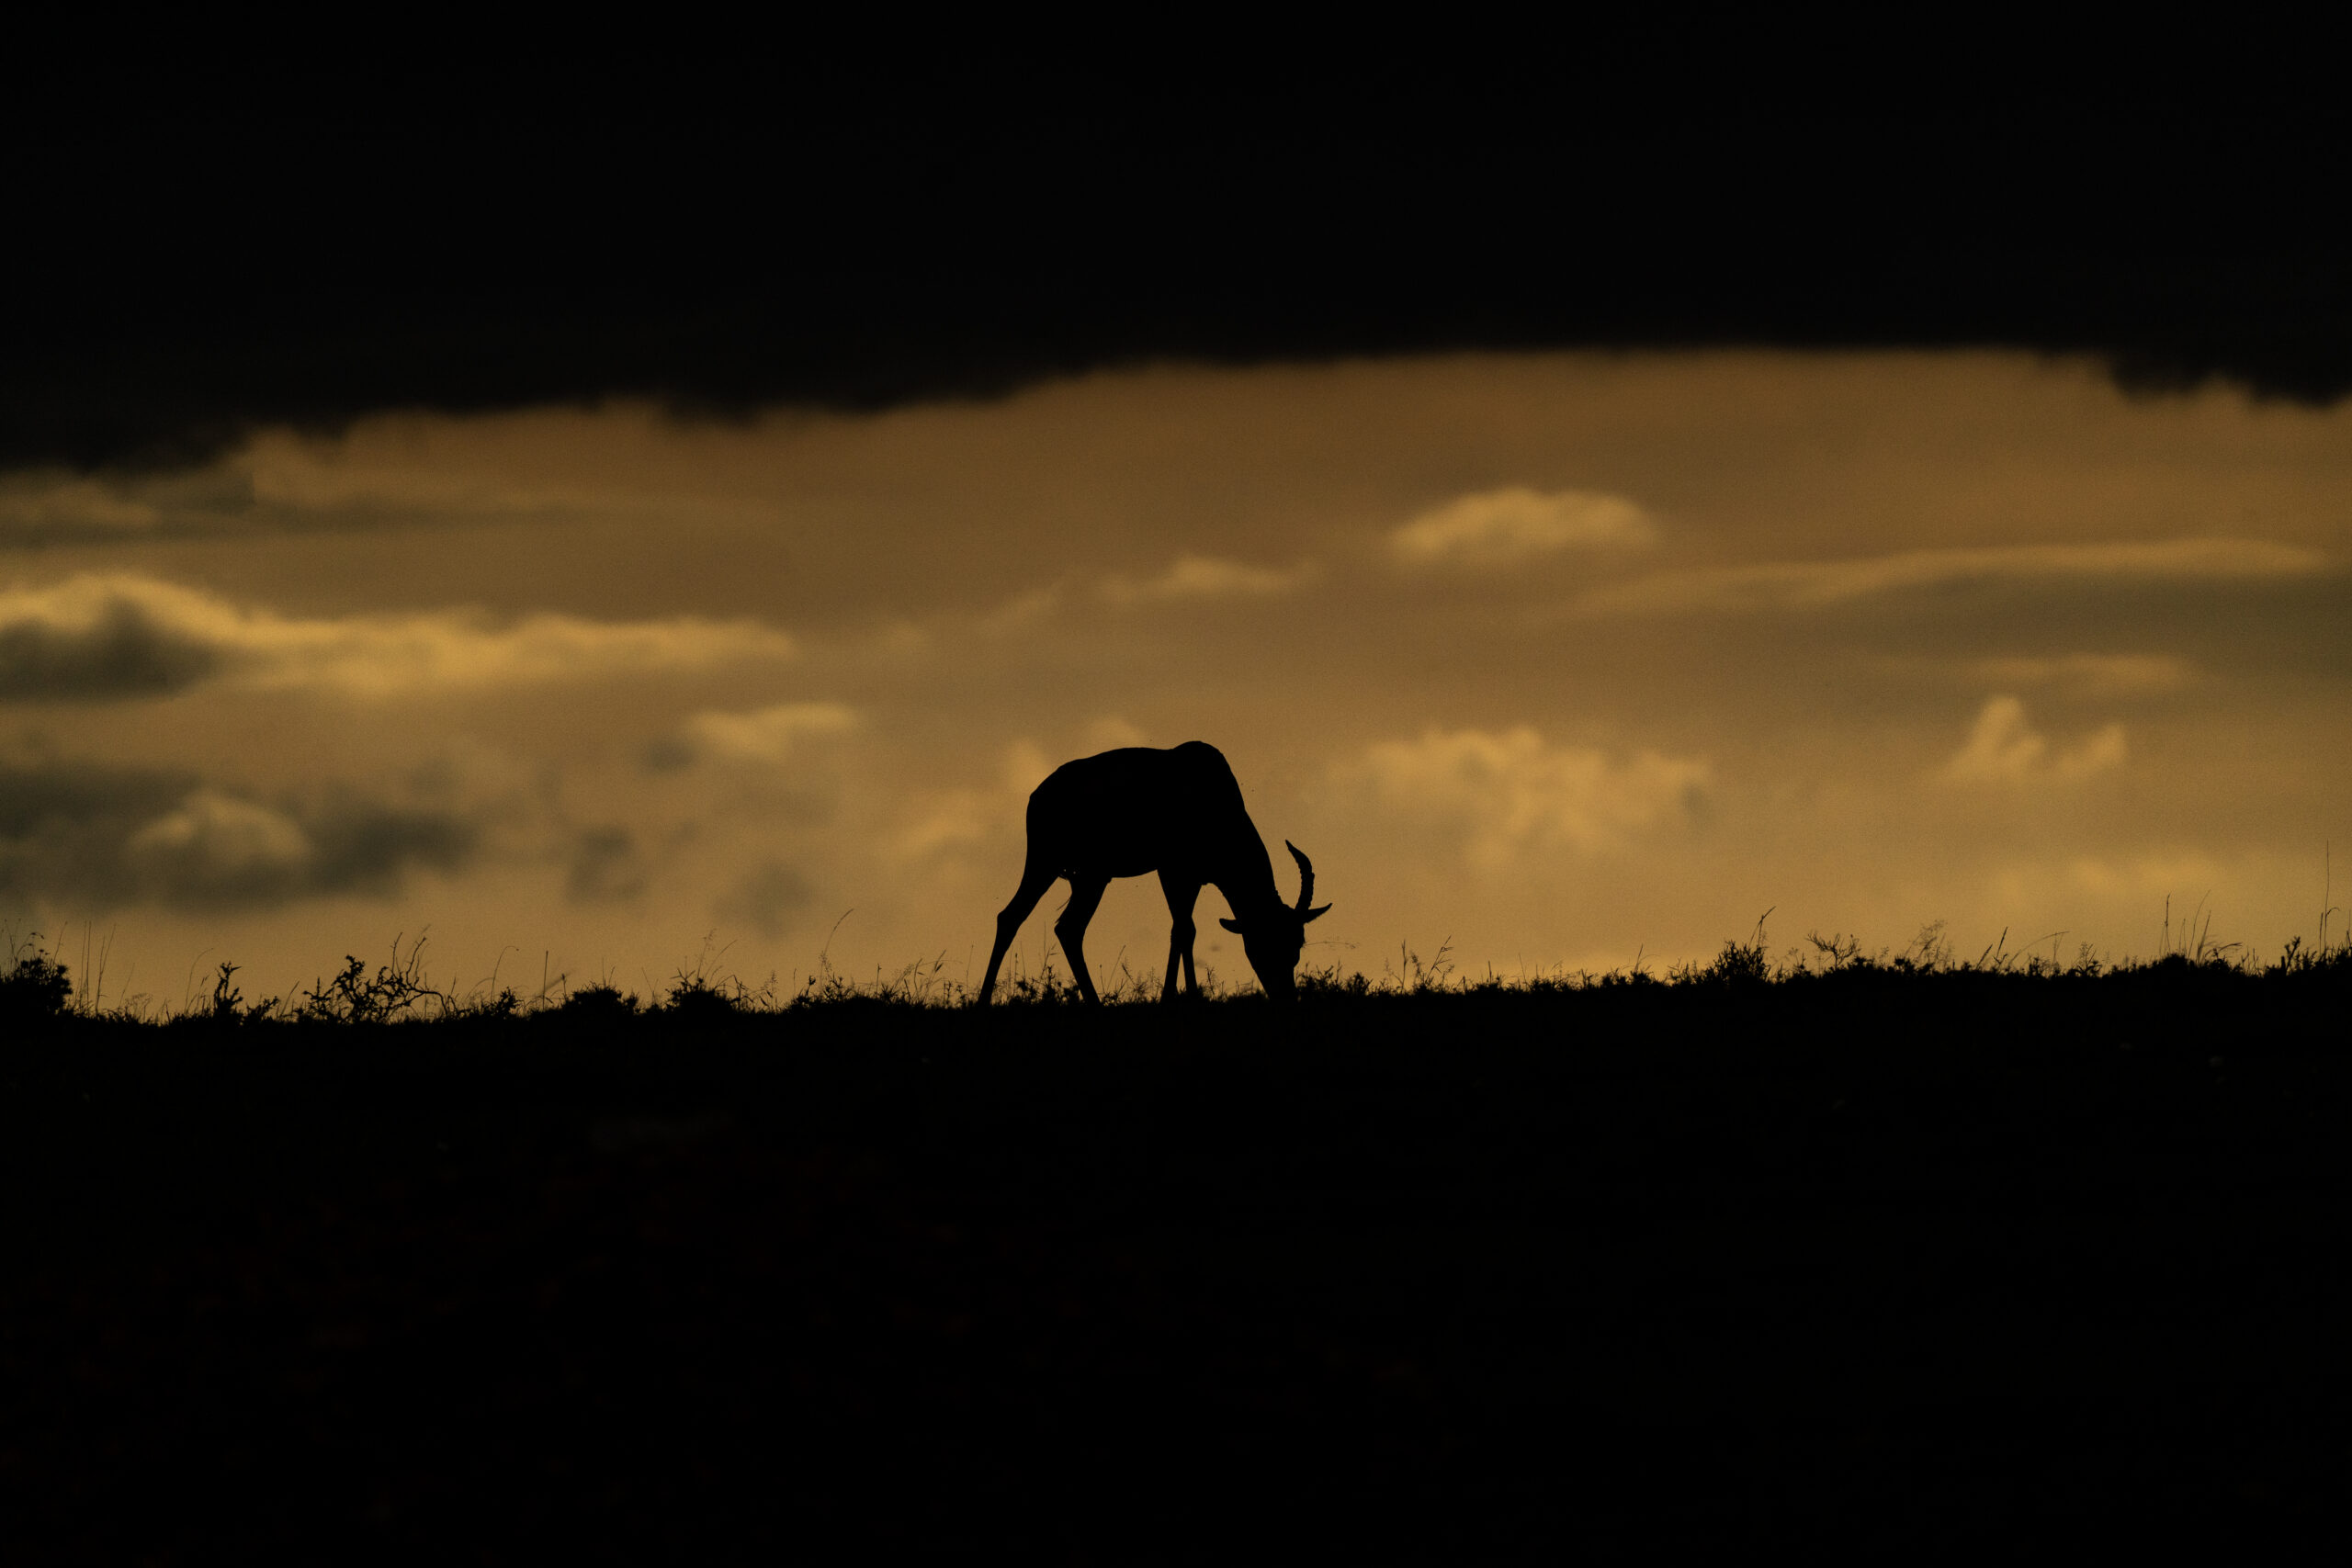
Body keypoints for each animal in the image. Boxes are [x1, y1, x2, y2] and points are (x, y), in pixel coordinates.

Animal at [975, 742, 1331, 1004]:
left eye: (1297, 944)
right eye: (1263, 942)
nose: (1286, 998)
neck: (1210, 790)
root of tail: (1037, 796)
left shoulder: (1195, 878)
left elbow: (1185, 930)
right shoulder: (1171, 870)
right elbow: (1183, 929)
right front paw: (1178, 998)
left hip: (1083, 876)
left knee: (1049, 924)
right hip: (1052, 864)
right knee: (1033, 921)